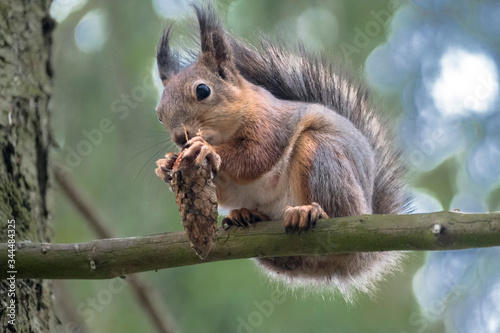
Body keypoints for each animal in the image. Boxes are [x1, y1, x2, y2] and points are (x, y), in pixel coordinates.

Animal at [154, 3, 408, 296]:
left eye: (203, 90)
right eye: (159, 114)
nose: (179, 137)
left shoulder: (271, 124)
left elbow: (255, 157)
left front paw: (206, 149)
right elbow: (225, 190)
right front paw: (166, 165)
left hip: (323, 158)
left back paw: (309, 212)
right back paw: (245, 215)